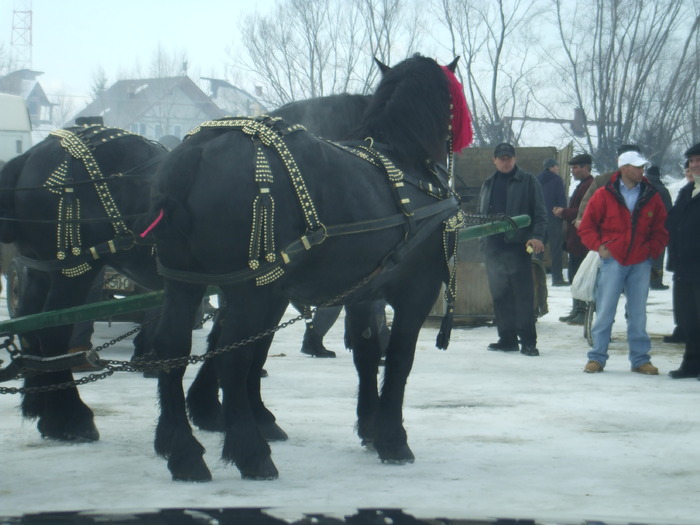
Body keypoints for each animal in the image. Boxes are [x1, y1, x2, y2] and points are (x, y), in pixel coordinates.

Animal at [150, 55, 474, 482]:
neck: (404, 164)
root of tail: (196, 151)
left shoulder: (362, 292)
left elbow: (366, 352)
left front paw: (370, 427)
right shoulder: (416, 293)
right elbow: (399, 360)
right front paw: (393, 437)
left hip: (184, 282)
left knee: (173, 348)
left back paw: (183, 451)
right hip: (253, 291)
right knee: (232, 356)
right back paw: (251, 452)